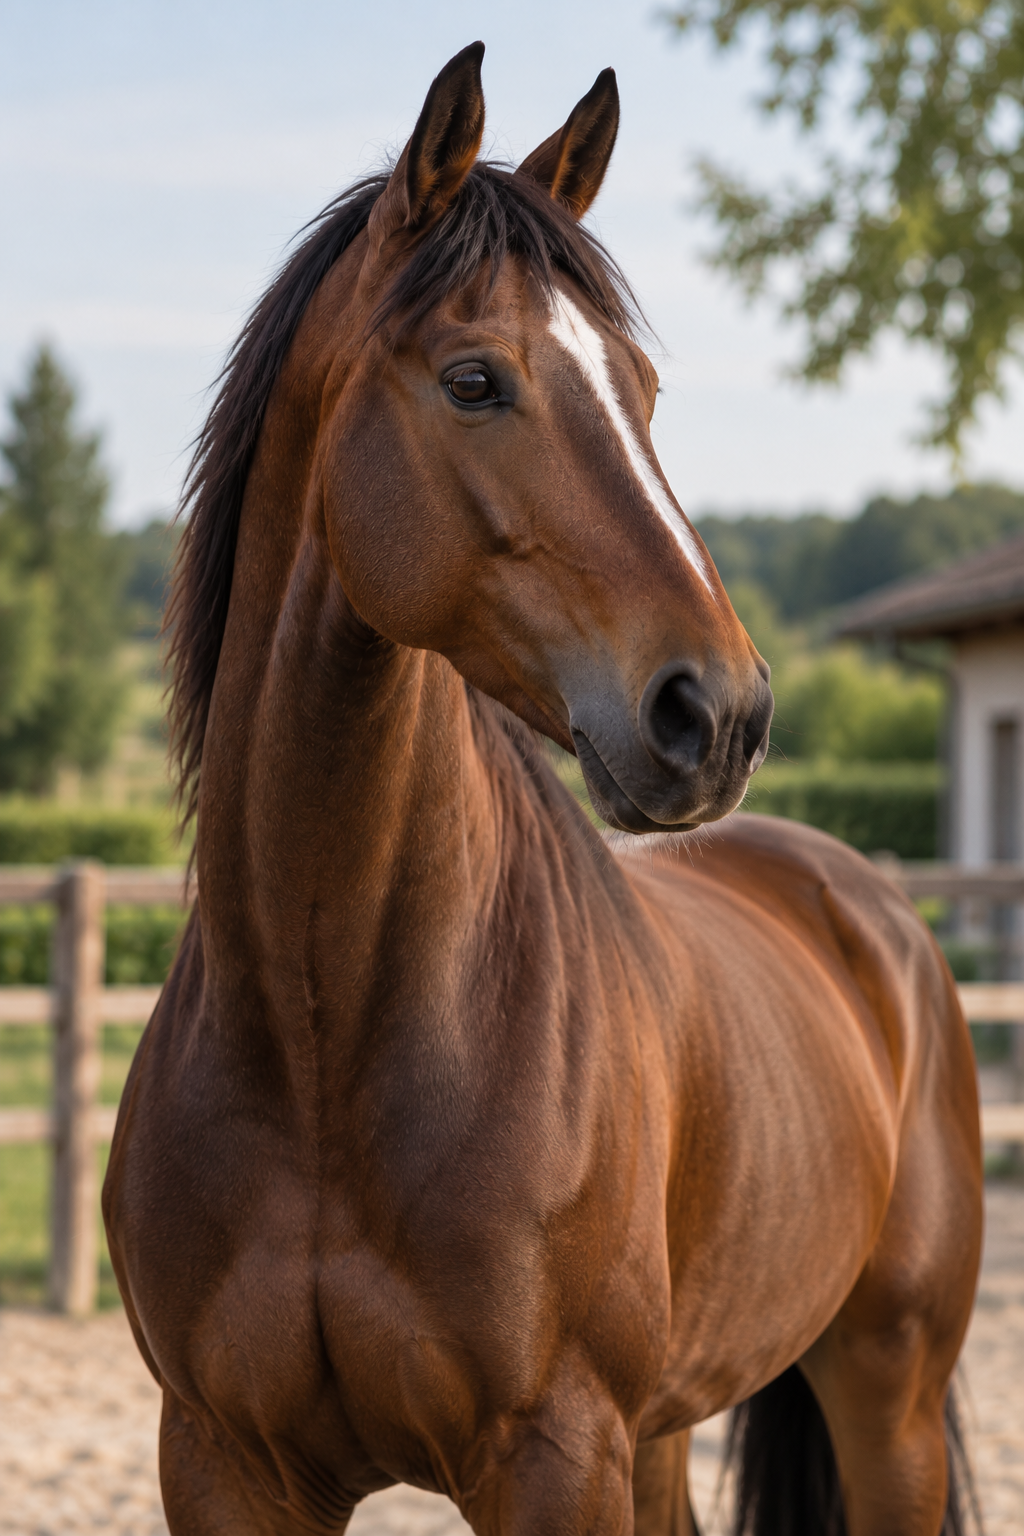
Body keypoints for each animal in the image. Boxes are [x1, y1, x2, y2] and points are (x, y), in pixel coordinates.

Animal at [103, 44, 982, 1536]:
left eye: (642, 389)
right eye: (474, 381)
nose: (720, 712)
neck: (322, 1041)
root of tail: (870, 910)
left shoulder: (554, 1455)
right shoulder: (220, 1460)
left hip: (891, 1402)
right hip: (666, 1434)